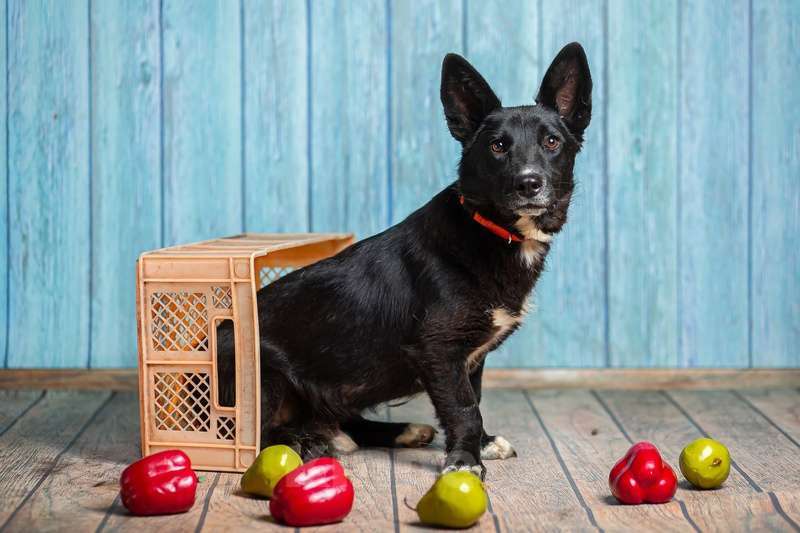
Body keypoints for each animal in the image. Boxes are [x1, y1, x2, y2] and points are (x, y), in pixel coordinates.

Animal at [216, 40, 592, 474]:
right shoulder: (438, 349)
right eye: (498, 146)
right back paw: (306, 441)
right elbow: (464, 407)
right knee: (257, 435)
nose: (528, 183)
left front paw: (480, 445)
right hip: (262, 370)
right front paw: (465, 460)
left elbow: (474, 399)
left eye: (552, 142)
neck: (490, 231)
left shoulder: (469, 358)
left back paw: (392, 432)